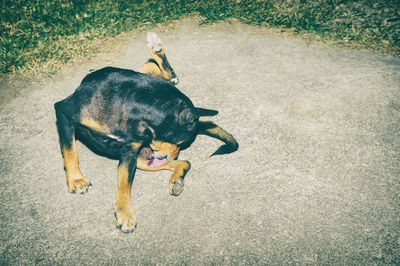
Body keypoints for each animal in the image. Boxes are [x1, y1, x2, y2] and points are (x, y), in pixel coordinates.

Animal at [55, 32, 238, 233]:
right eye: (180, 142)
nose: (172, 155)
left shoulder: (129, 153)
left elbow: (124, 185)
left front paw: (124, 211)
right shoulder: (64, 113)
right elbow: (70, 152)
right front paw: (76, 179)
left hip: (143, 159)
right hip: (144, 159)